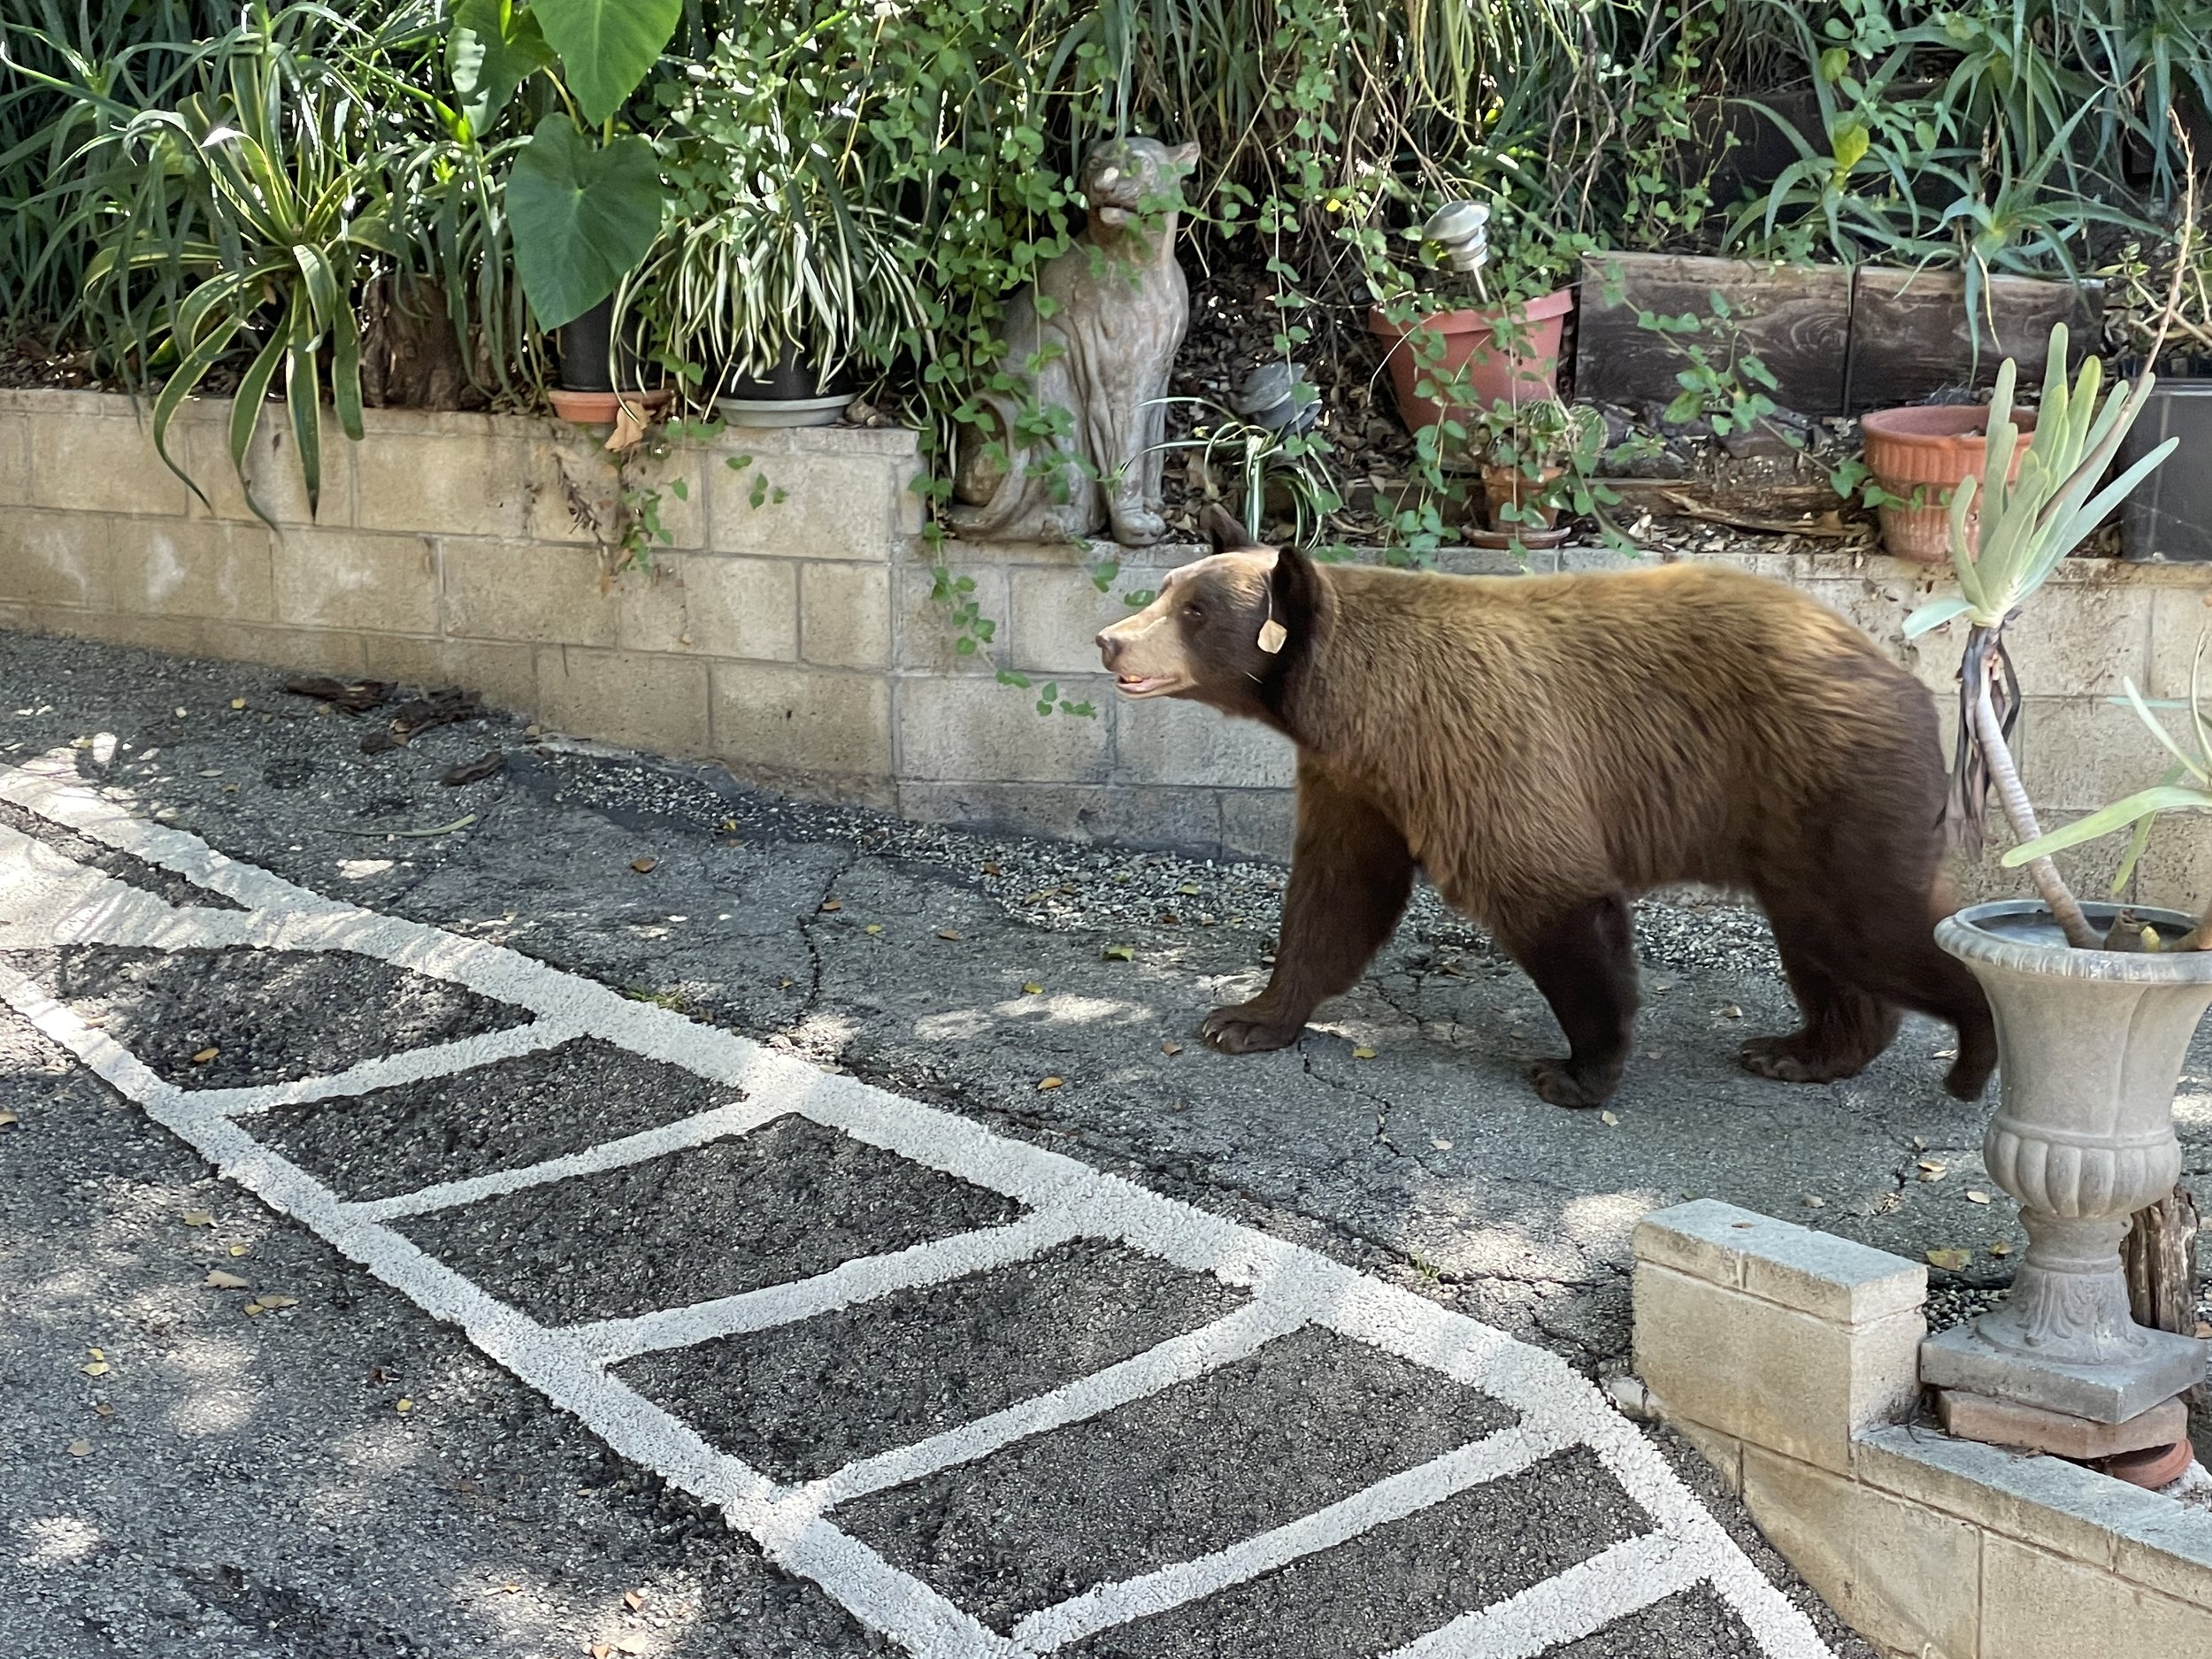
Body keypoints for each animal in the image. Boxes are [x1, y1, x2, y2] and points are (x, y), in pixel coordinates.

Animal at [1095, 506, 1996, 1109]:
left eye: (1194, 610)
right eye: (1169, 587)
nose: (1110, 639)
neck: (1357, 706)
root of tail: (1900, 674)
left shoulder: (1474, 746)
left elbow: (1547, 891)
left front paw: (1576, 1069)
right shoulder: (1358, 781)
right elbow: (1336, 894)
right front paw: (1245, 1017)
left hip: (1823, 779)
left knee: (1872, 923)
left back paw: (1974, 1047)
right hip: (1793, 819)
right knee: (1824, 937)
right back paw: (1804, 1049)